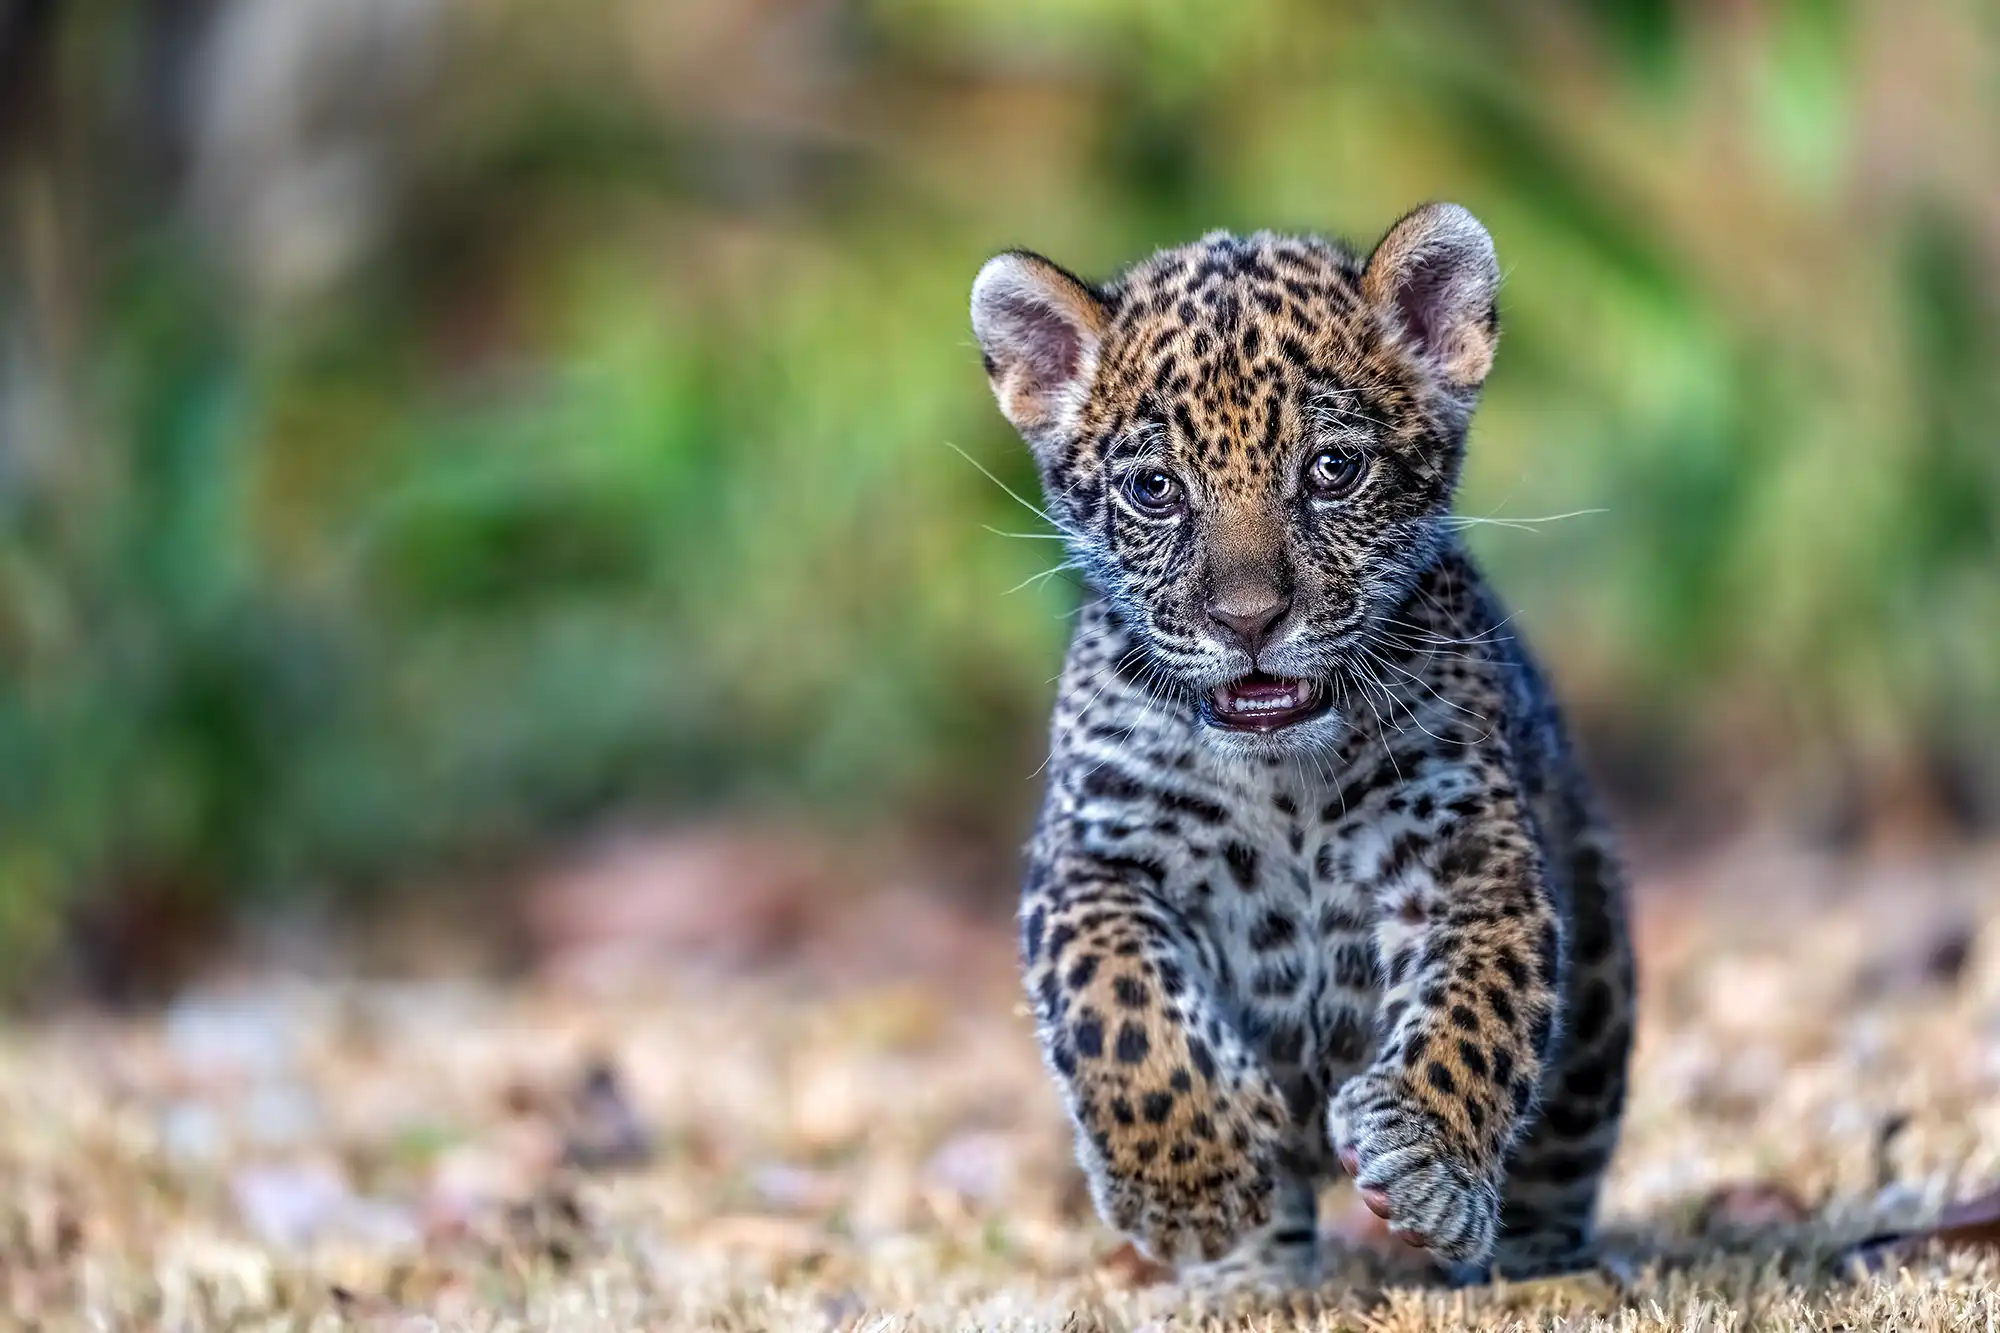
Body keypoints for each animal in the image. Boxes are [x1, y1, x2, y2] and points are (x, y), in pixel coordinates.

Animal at [968, 203, 1635, 1288]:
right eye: (1154, 489)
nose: (1247, 620)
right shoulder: (1093, 859)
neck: (1282, 780)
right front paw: (1191, 1184)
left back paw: (1530, 1264)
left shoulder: (1467, 853)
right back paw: (1245, 1279)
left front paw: (1423, 1163)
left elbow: (1477, 1006)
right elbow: (1119, 1007)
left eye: (1332, 469)